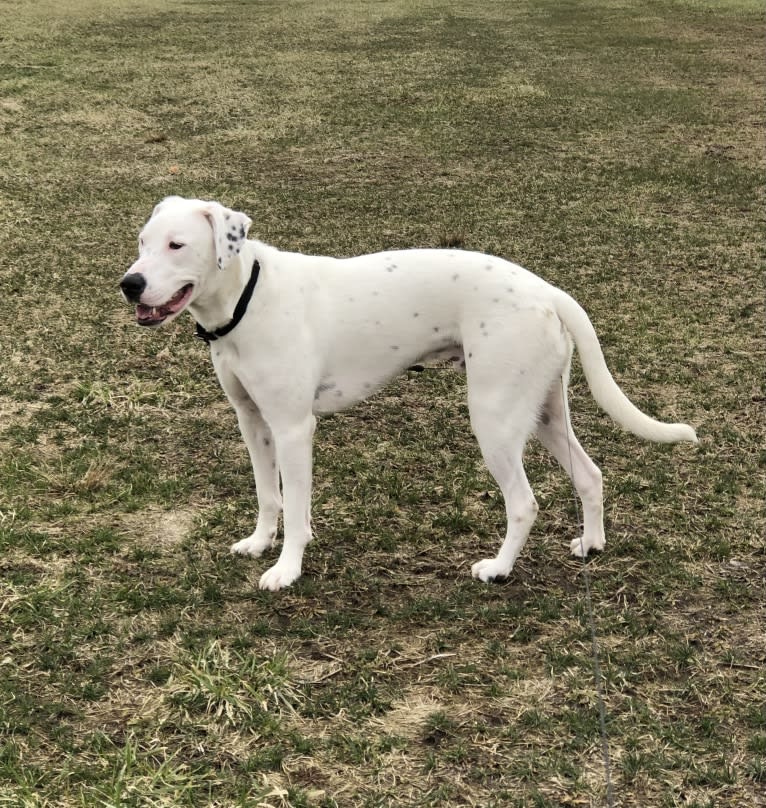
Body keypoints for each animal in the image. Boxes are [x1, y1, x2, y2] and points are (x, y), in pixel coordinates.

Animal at [118, 196, 696, 588]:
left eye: (177, 245)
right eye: (142, 242)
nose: (129, 284)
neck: (246, 297)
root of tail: (547, 290)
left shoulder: (293, 429)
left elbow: (298, 508)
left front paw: (287, 570)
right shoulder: (253, 423)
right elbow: (268, 495)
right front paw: (261, 543)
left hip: (494, 419)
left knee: (524, 502)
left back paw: (498, 568)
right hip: (544, 414)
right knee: (591, 475)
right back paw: (592, 543)